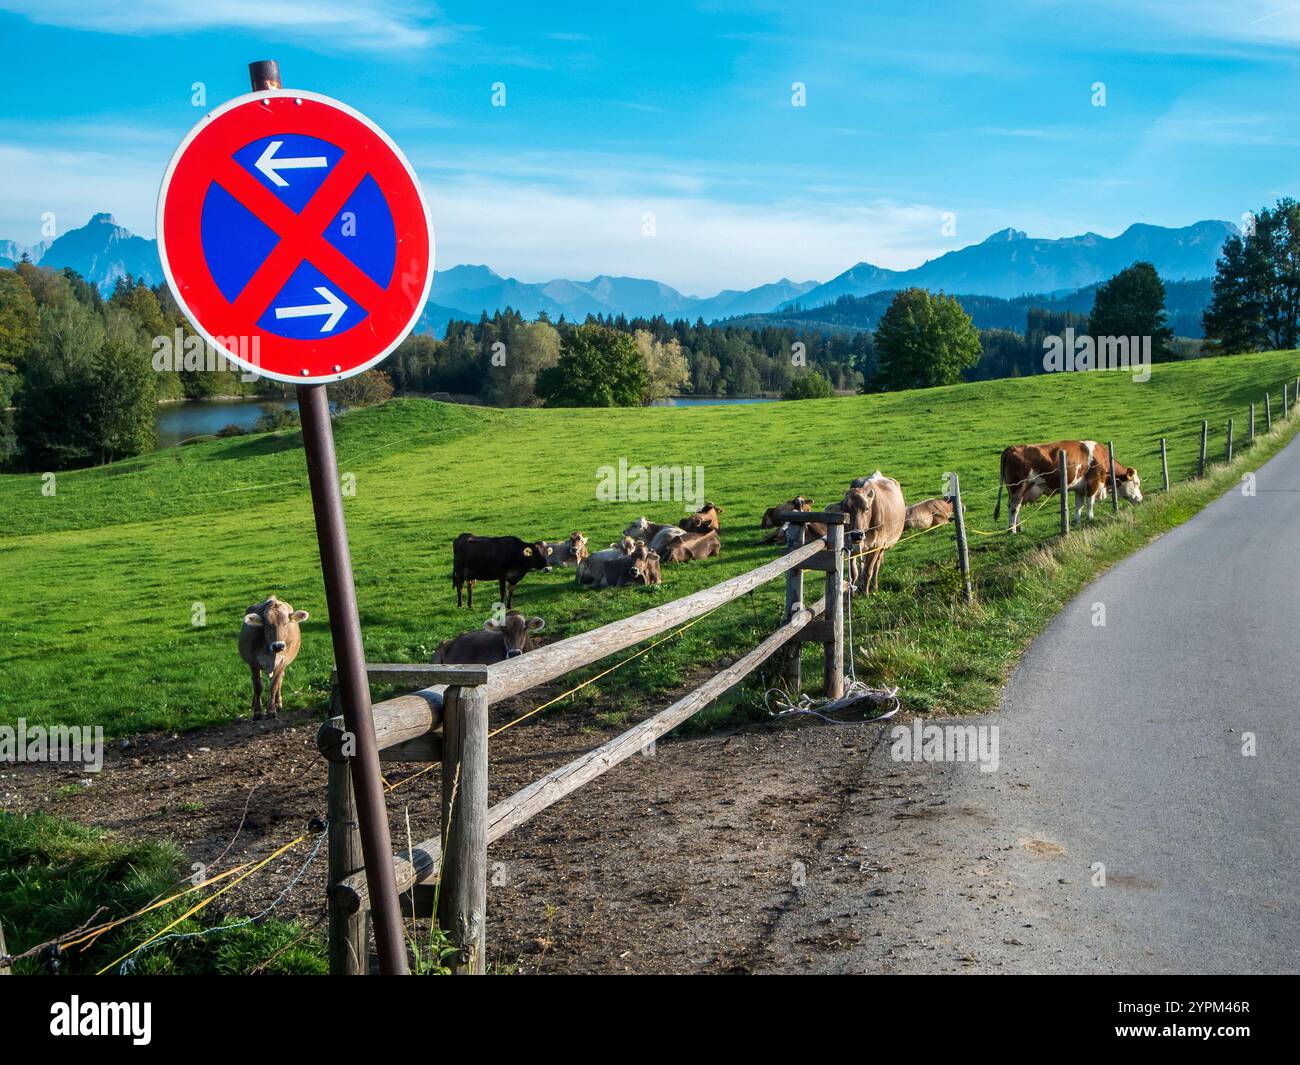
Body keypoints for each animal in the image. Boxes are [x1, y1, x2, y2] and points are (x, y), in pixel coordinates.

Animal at [240, 595, 308, 723]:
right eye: (267, 624)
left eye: (286, 623)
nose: (278, 646)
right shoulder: (254, 663)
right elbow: (258, 686)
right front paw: (258, 712)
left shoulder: (282, 662)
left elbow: (274, 685)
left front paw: (271, 710)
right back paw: (254, 703)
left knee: (280, 679)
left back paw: (278, 703)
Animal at [987, 436, 1144, 533]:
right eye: (1136, 483)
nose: (1140, 499)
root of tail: (1011, 447)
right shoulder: (1092, 483)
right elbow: (1090, 503)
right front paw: (1091, 518)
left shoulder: (1080, 487)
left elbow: (1079, 505)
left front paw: (1077, 520)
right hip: (1018, 488)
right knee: (1013, 508)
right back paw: (1012, 530)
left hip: (1015, 491)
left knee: (1015, 508)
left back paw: (1019, 528)